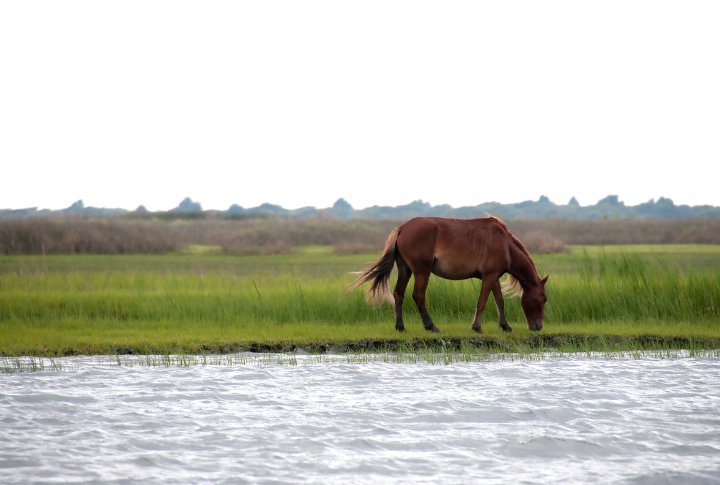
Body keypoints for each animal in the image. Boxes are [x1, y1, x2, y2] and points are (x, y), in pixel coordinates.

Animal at [346, 216, 548, 332]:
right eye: (544, 299)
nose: (538, 327)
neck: (505, 244)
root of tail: (403, 227)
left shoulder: (493, 277)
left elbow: (499, 301)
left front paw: (505, 326)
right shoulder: (489, 276)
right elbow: (482, 302)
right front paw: (477, 327)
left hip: (405, 270)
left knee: (399, 294)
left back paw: (400, 327)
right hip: (422, 271)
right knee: (418, 296)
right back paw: (431, 326)